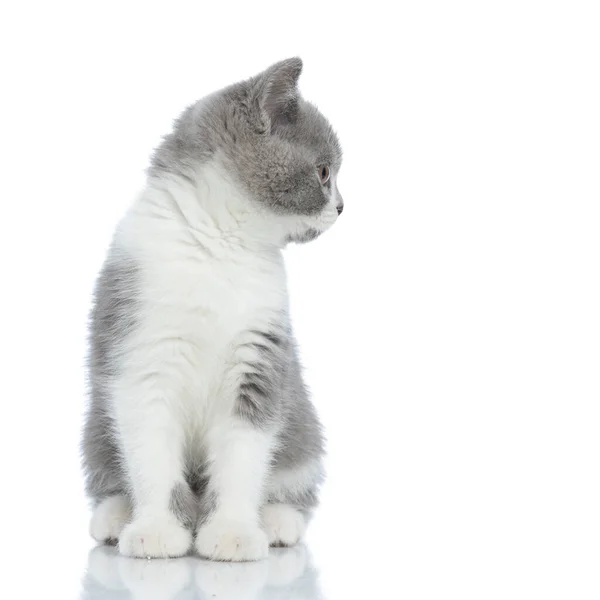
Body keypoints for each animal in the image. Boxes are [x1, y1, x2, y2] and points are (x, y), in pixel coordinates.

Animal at [81, 58, 342, 560]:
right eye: (323, 172)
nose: (342, 206)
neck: (221, 242)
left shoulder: (259, 361)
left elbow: (243, 456)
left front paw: (233, 532)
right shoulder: (140, 348)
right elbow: (151, 453)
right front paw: (157, 530)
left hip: (301, 427)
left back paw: (277, 519)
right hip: (96, 428)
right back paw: (116, 514)